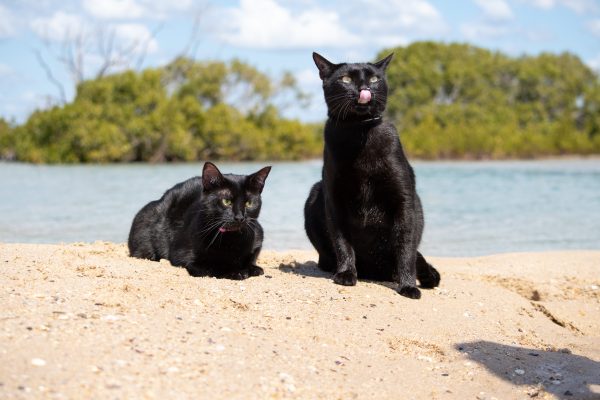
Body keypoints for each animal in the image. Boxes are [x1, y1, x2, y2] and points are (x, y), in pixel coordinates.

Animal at [131, 161, 272, 280]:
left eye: (249, 203)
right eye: (226, 201)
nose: (240, 217)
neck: (232, 239)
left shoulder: (257, 238)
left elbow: (251, 258)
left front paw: (253, 268)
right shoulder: (185, 257)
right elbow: (213, 266)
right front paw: (235, 272)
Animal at [304, 51, 440, 298]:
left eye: (375, 79)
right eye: (346, 79)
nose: (364, 88)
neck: (359, 131)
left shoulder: (404, 200)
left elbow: (405, 247)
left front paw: (408, 285)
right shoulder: (334, 198)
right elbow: (342, 241)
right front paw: (346, 273)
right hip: (314, 192)